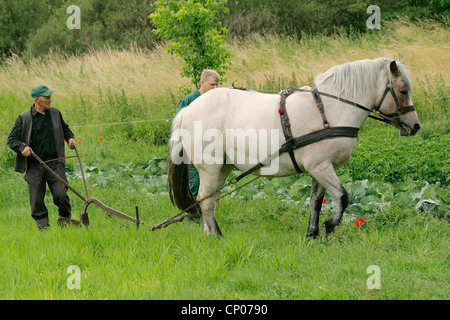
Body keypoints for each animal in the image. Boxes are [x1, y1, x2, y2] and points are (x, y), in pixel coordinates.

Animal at [167, 58, 420, 238]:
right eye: (403, 91)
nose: (415, 126)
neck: (329, 110)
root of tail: (188, 109)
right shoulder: (322, 167)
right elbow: (343, 196)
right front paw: (330, 225)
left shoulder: (319, 169)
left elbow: (316, 201)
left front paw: (312, 234)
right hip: (210, 166)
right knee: (206, 200)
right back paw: (217, 236)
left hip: (222, 167)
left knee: (208, 198)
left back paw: (208, 233)